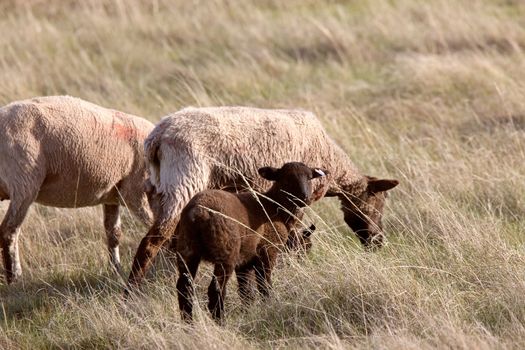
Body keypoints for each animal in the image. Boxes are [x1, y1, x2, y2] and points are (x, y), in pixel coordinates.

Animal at [0, 95, 155, 284]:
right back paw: (15, 279)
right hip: (24, 183)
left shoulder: (113, 195)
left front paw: (116, 270)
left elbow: (113, 233)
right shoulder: (137, 192)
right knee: (9, 231)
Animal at [127, 105, 398, 292]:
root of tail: (157, 138)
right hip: (183, 181)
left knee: (169, 243)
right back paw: (132, 292)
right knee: (151, 243)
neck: (332, 165)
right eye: (379, 204)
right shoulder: (296, 200)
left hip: (158, 189)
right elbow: (292, 235)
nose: (378, 242)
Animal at [174, 161, 326, 322]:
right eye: (286, 178)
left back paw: (188, 324)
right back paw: (221, 322)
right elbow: (264, 285)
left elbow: (246, 292)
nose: (305, 198)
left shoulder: (245, 261)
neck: (274, 206)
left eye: (310, 178)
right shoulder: (268, 251)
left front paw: (247, 313)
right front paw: (269, 306)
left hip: (187, 249)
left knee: (184, 288)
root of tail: (197, 213)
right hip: (225, 253)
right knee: (216, 290)